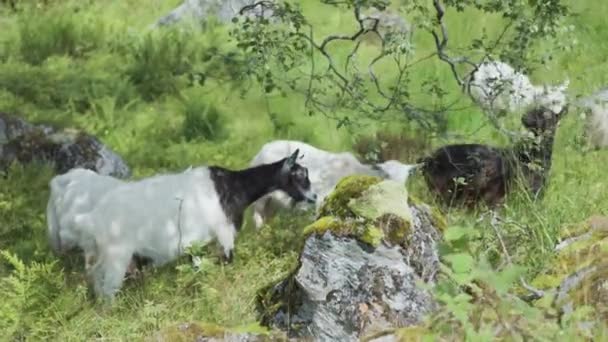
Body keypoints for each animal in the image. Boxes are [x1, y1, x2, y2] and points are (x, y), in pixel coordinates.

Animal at [72, 150, 316, 300]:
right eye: (299, 175)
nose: (314, 197)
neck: (232, 187)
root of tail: (93, 218)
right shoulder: (224, 234)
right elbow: (226, 265)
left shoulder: (198, 244)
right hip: (117, 254)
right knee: (107, 291)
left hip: (98, 254)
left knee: (95, 280)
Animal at [249, 139, 420, 227]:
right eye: (387, 177)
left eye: (406, 179)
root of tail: (262, 150)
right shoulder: (321, 200)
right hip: (261, 199)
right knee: (257, 219)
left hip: (273, 203)